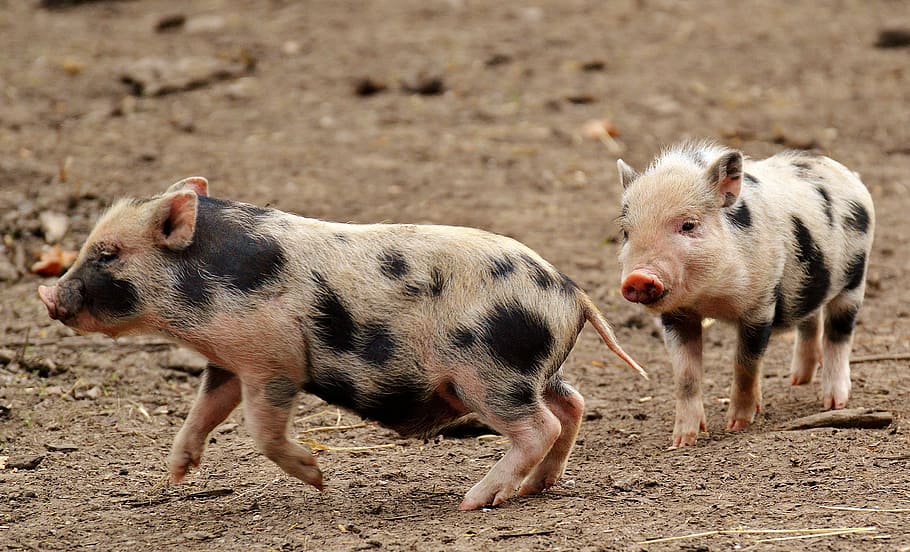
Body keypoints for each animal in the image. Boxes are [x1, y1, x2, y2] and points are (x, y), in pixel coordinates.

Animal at [38, 177, 646, 510]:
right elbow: (203, 411)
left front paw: (318, 479)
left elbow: (261, 429)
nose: (47, 294)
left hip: (491, 373)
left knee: (538, 426)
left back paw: (475, 500)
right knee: (572, 406)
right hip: (534, 371)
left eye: (108, 254)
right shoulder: (228, 360)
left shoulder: (275, 358)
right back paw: (534, 489)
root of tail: (571, 293)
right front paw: (176, 474)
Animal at [615, 141, 874, 447]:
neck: (710, 297)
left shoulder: (760, 303)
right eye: (626, 232)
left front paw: (737, 426)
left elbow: (745, 363)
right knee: (810, 318)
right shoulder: (677, 315)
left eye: (689, 225)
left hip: (855, 276)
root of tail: (847, 174)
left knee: (839, 333)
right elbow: (685, 375)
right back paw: (797, 380)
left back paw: (834, 403)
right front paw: (682, 441)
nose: (638, 277)